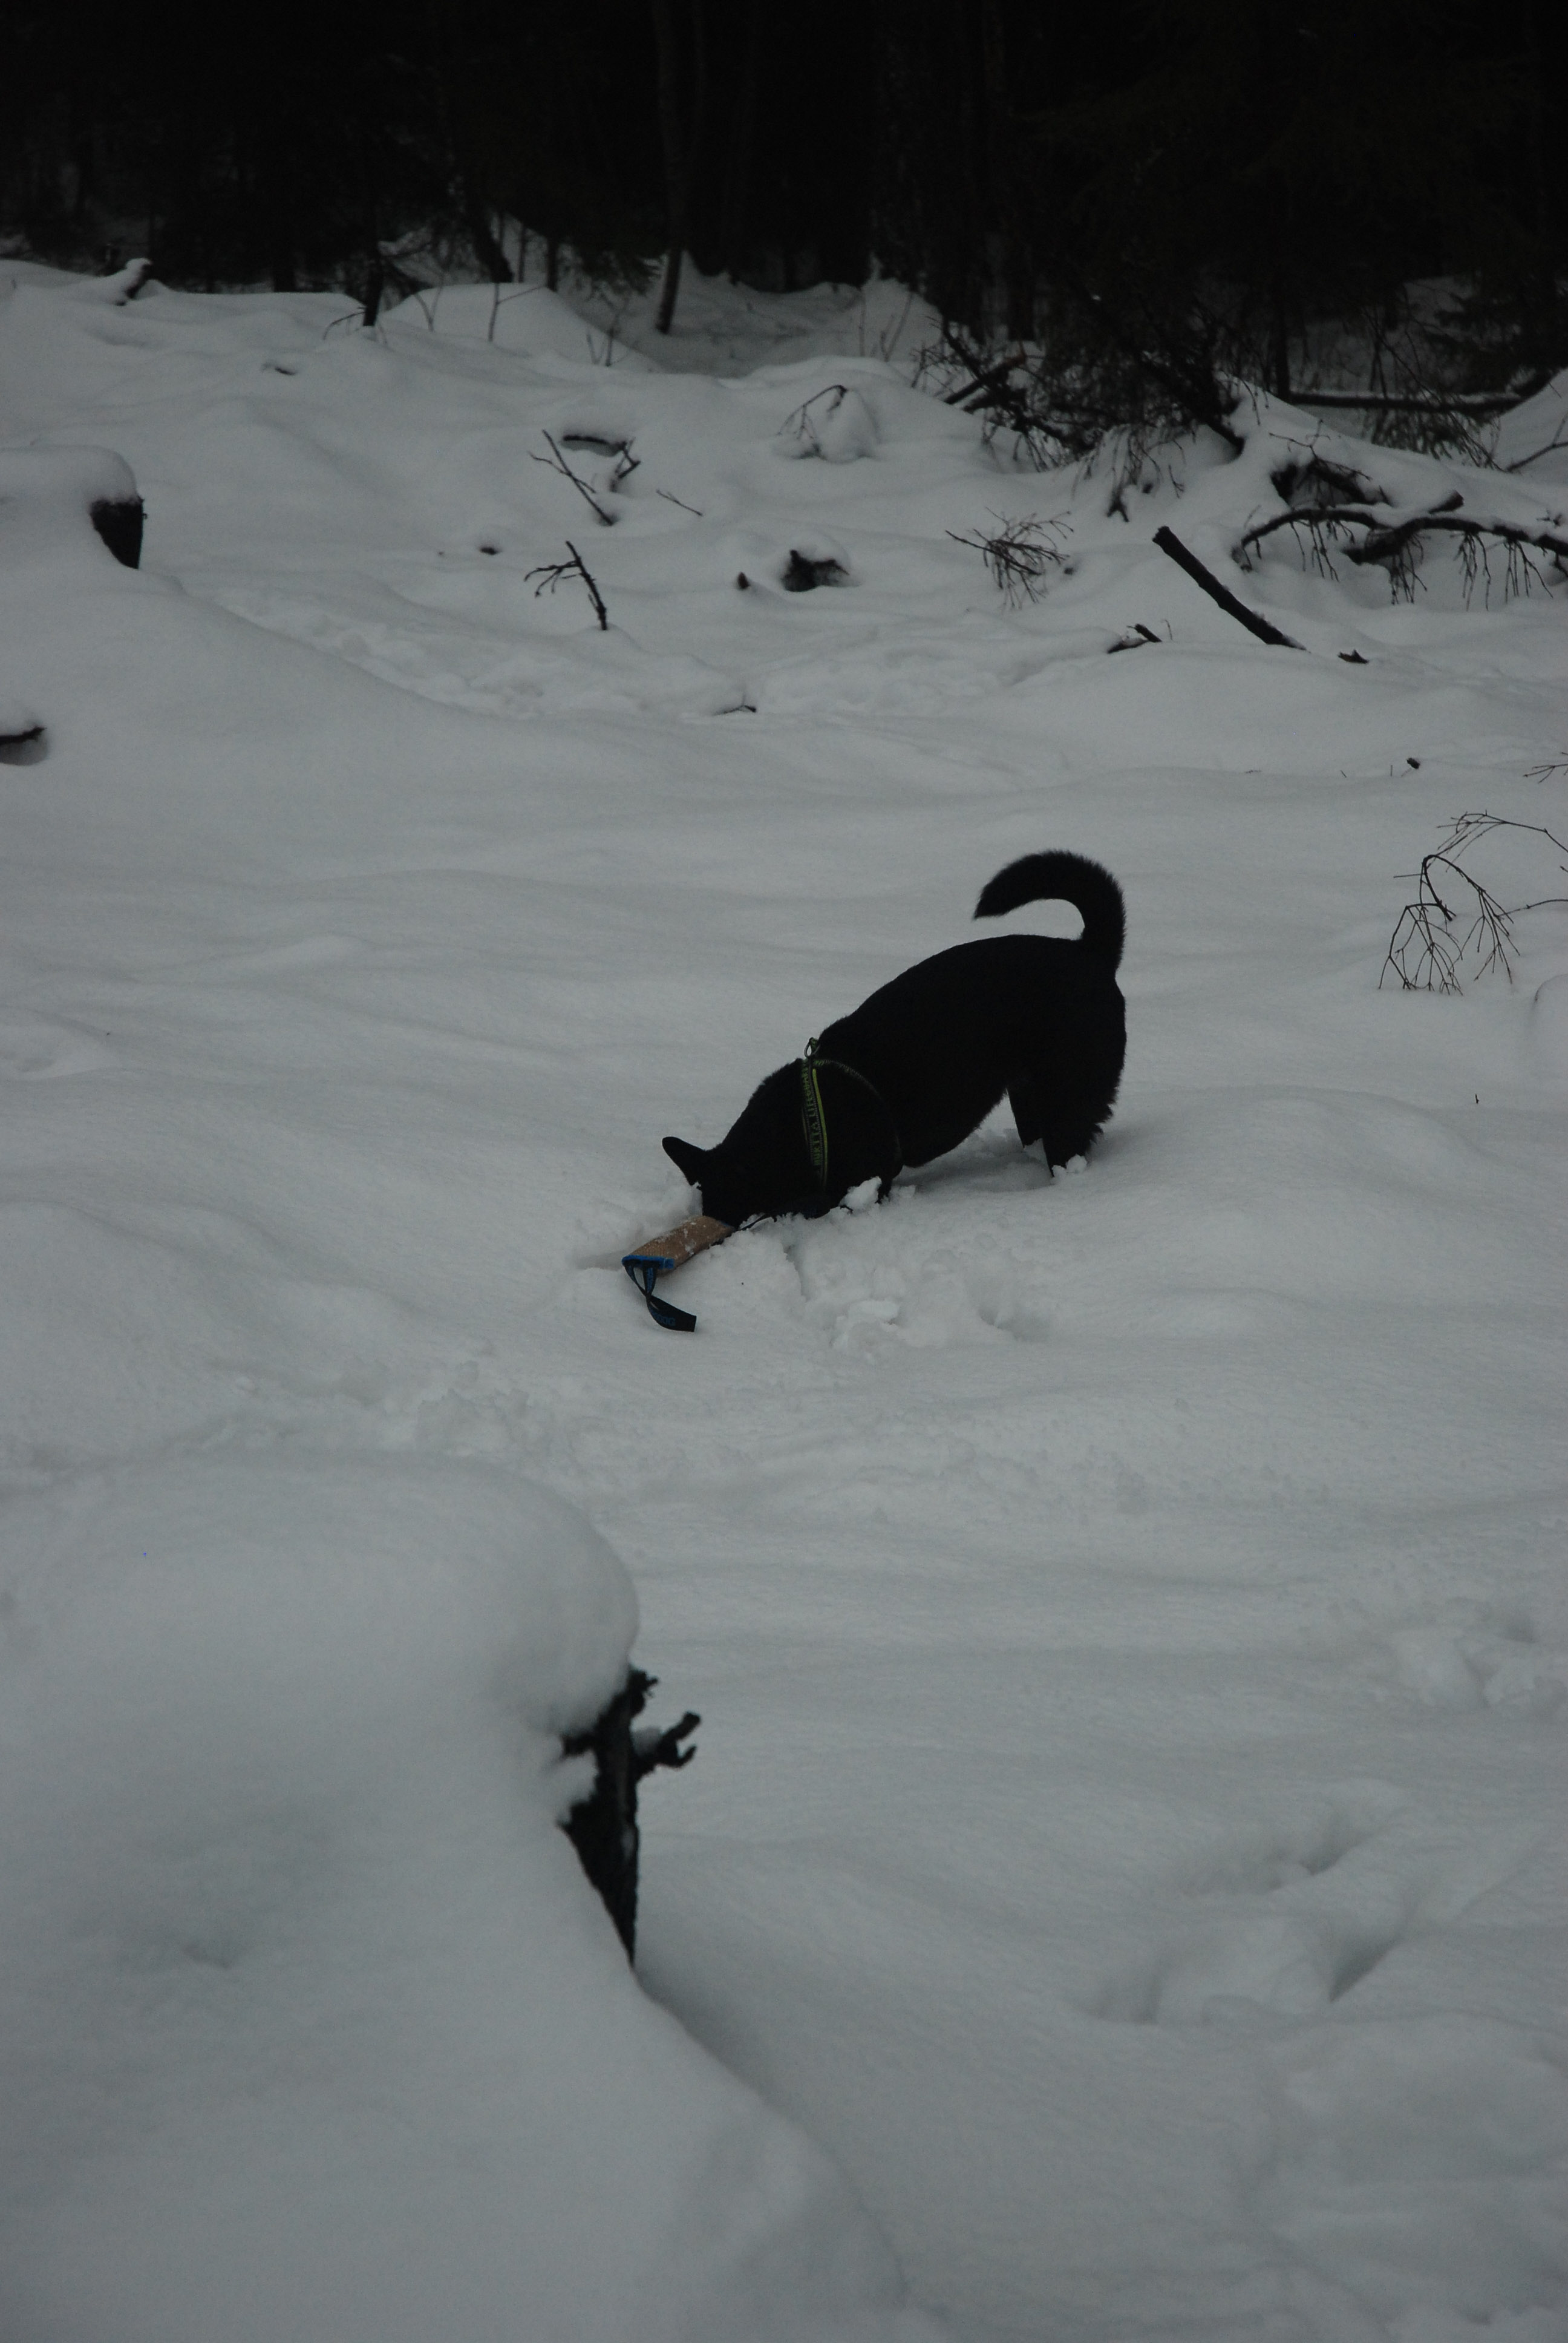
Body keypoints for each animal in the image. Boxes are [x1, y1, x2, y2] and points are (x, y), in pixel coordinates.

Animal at [662, 850, 1126, 1228]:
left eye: (728, 1211)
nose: (710, 1233)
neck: (807, 1123)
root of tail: (1091, 952)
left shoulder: (868, 1179)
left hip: (1066, 1096)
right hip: (1027, 1095)